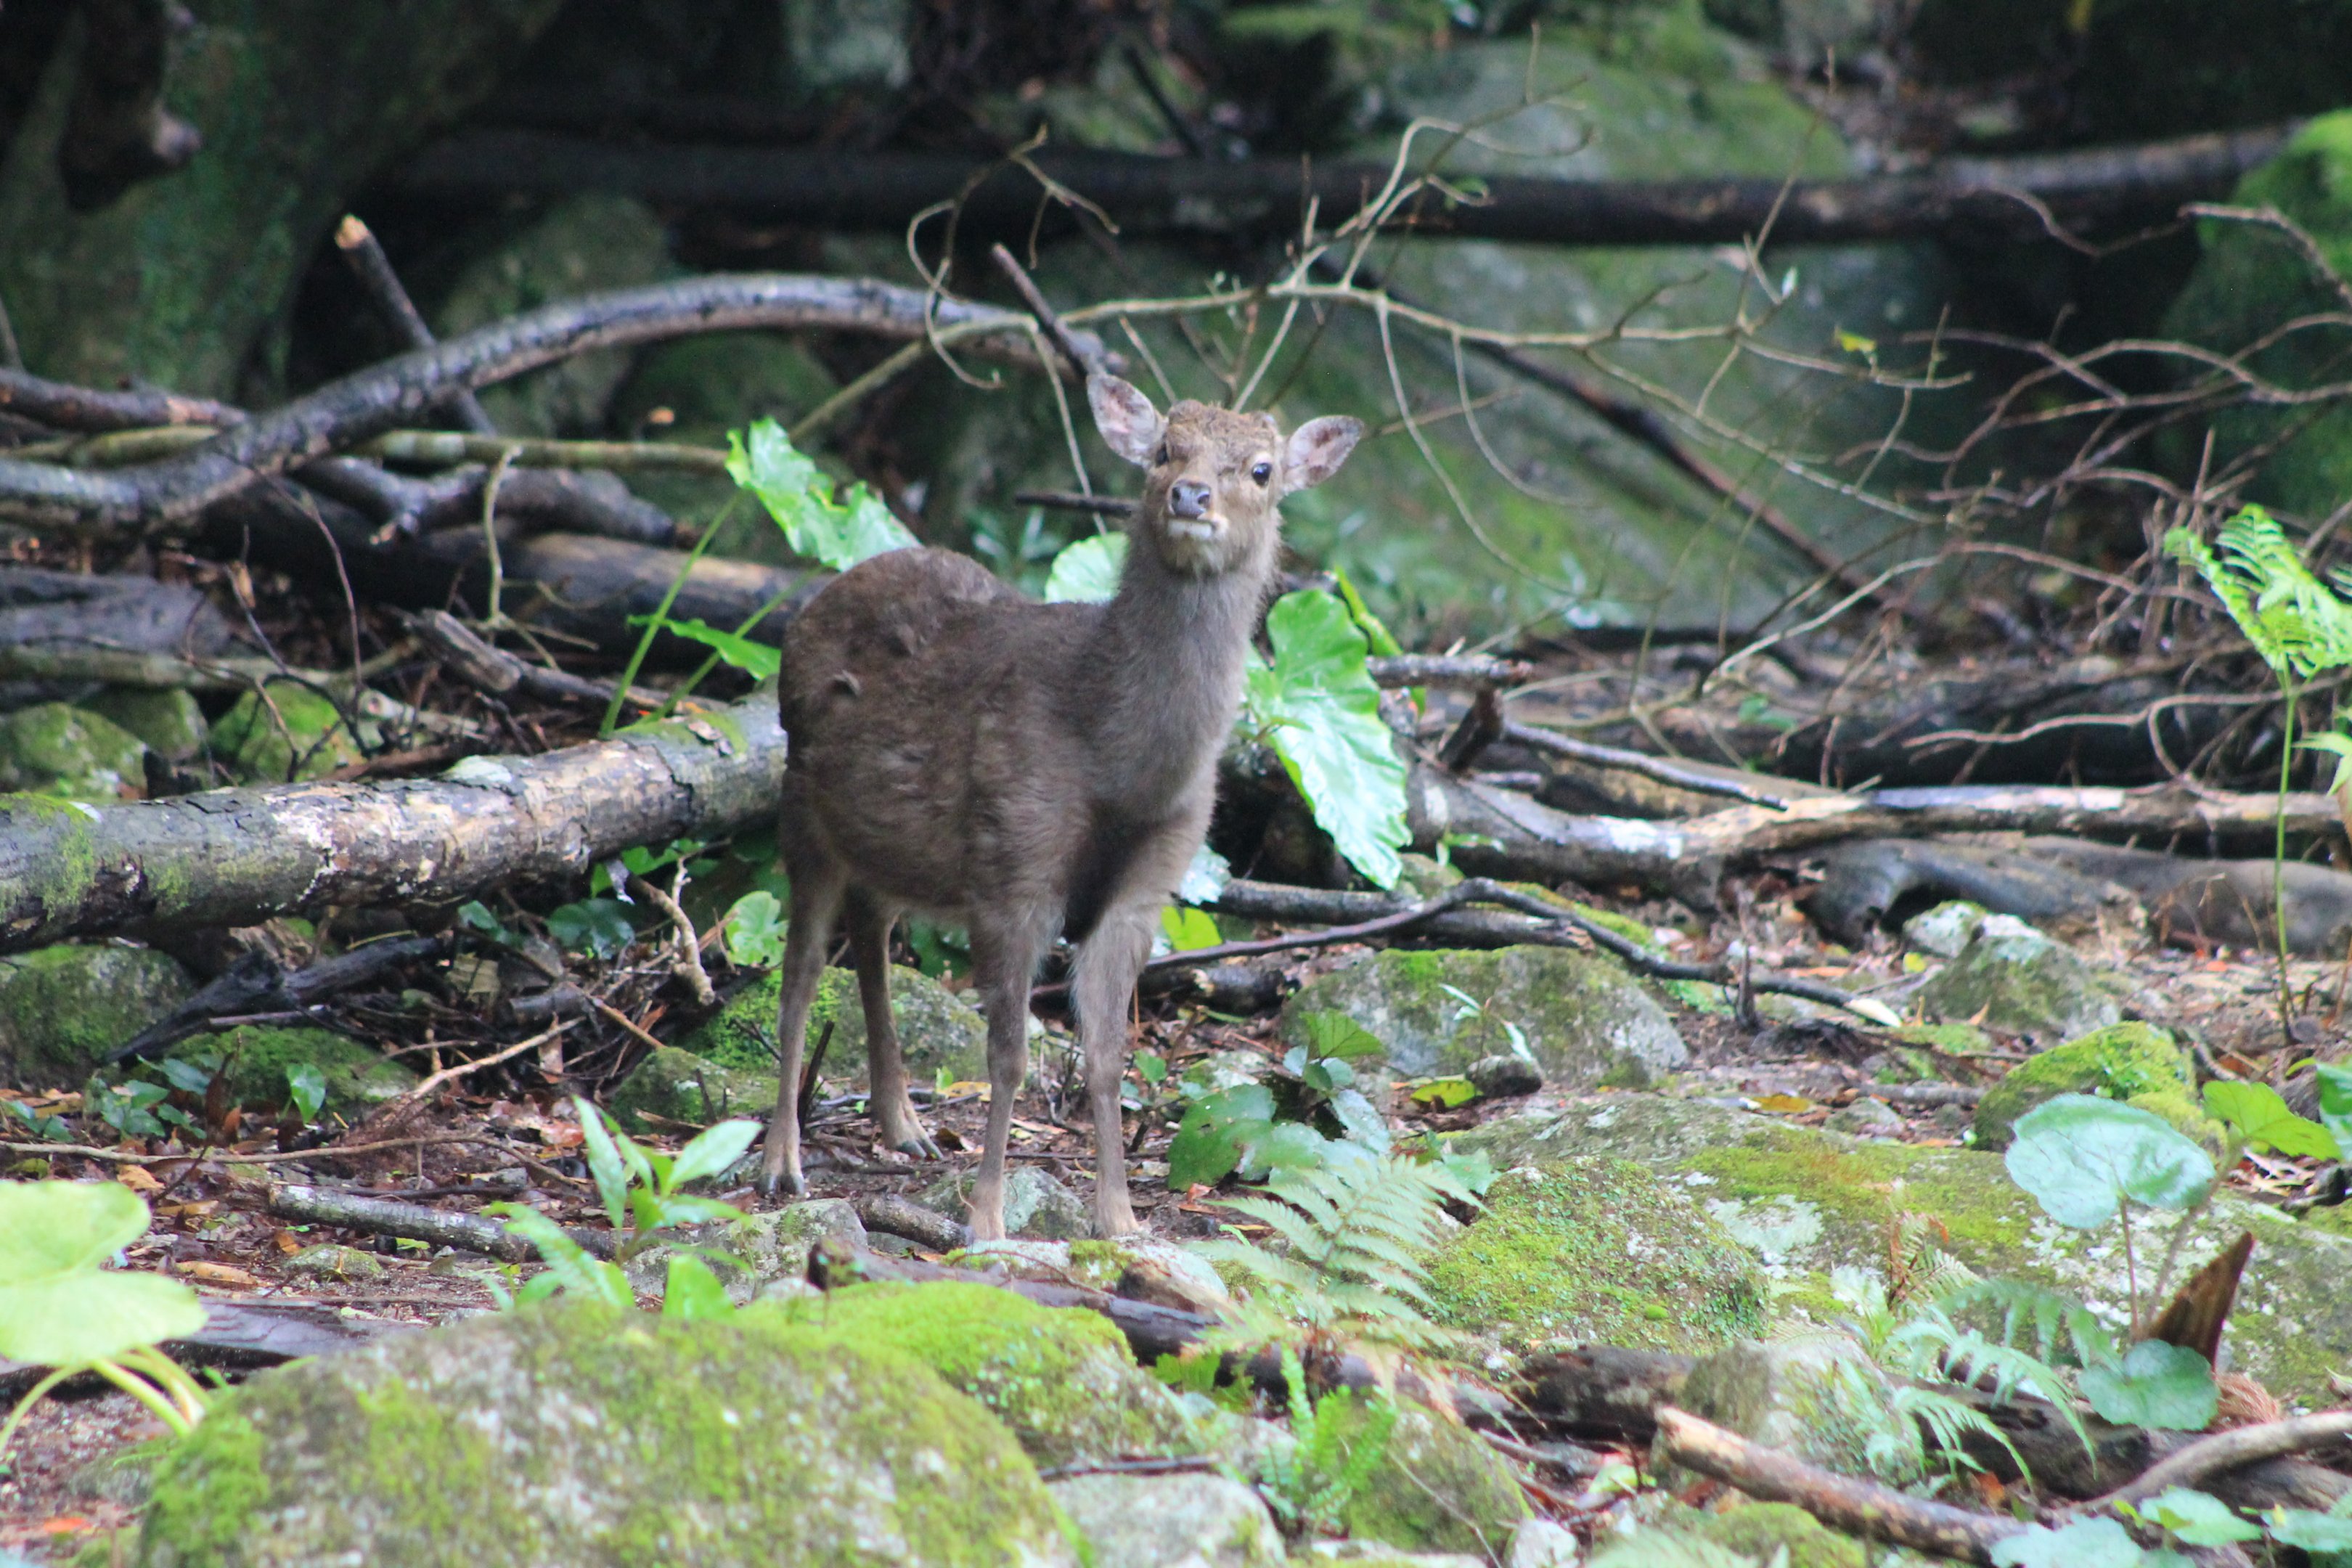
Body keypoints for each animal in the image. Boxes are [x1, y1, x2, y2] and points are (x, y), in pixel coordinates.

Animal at [755, 373, 1362, 1239]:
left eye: (1263, 469)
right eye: (1162, 448)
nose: (1189, 494)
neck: (1122, 764)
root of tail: (808, 609)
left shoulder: (1147, 890)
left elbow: (1107, 1055)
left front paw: (1121, 1218)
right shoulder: (1015, 865)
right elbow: (1008, 1053)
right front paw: (986, 1218)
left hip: (891, 843)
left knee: (872, 932)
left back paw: (903, 1124)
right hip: (801, 805)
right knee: (801, 969)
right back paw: (783, 1161)